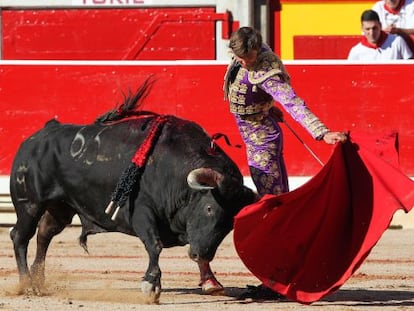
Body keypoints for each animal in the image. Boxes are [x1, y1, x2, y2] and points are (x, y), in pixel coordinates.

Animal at [8, 81, 258, 304]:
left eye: (230, 223)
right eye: (208, 208)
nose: (201, 254)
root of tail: (39, 135)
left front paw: (210, 282)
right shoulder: (142, 212)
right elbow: (154, 244)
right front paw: (151, 286)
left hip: (60, 207)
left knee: (44, 234)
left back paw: (39, 282)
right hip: (29, 204)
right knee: (20, 236)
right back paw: (26, 284)